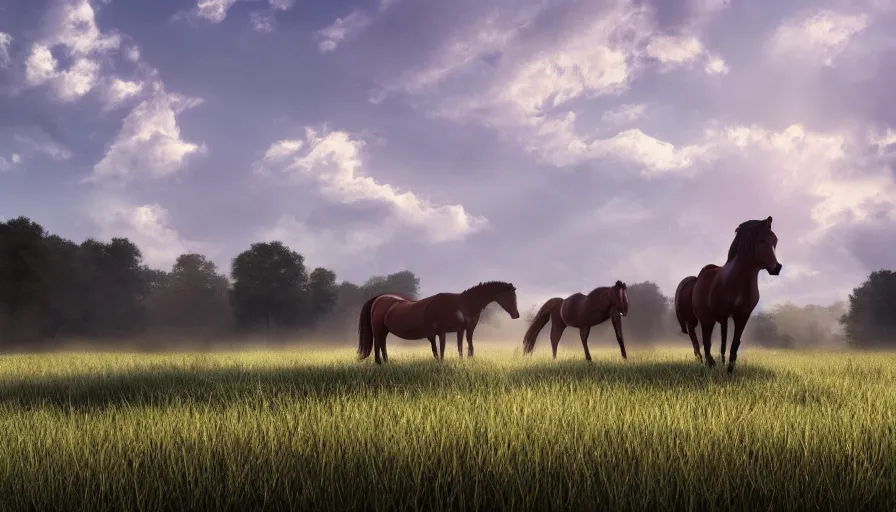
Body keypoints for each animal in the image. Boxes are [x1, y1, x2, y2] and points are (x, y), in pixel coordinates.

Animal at [356, 280, 520, 364]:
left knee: (382, 344)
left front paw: (464, 360)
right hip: (378, 330)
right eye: (509, 296)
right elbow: (442, 348)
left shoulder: (463, 329)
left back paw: (386, 362)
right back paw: (379, 363)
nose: (516, 315)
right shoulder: (442, 331)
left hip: (384, 330)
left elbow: (463, 345)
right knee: (378, 344)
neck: (464, 304)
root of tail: (379, 299)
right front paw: (442, 363)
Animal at [688, 214, 780, 374]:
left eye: (775, 241)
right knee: (706, 342)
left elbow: (734, 344)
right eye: (762, 240)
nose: (777, 268)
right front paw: (722, 368)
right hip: (706, 319)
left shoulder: (743, 316)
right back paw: (710, 365)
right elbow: (723, 344)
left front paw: (730, 372)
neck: (738, 281)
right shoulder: (724, 315)